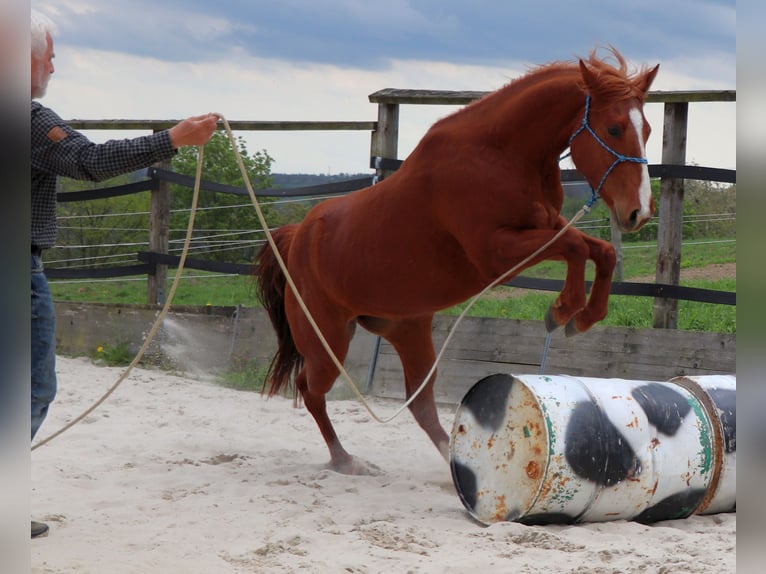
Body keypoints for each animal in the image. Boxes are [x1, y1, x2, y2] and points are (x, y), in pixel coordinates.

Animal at [256, 48, 659, 474]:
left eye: (647, 129)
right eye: (614, 128)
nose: (639, 212)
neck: (500, 154)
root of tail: (296, 236)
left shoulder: (547, 227)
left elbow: (600, 250)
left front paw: (583, 316)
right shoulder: (496, 252)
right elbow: (577, 248)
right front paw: (564, 310)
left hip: (408, 330)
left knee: (419, 403)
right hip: (326, 340)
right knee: (310, 390)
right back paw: (344, 460)